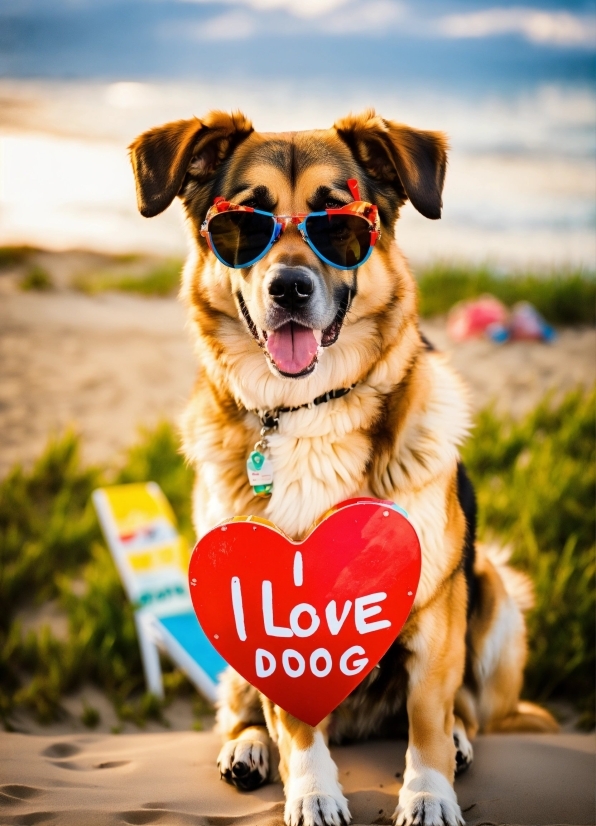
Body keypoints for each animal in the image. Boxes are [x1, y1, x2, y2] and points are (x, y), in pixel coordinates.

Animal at [130, 109, 560, 824]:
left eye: (340, 224)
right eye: (243, 224)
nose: (289, 288)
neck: (307, 412)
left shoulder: (435, 604)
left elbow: (426, 715)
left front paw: (429, 792)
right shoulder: (267, 619)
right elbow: (293, 718)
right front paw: (312, 789)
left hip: (495, 590)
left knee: (463, 707)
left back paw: (460, 740)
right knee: (242, 708)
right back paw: (248, 747)